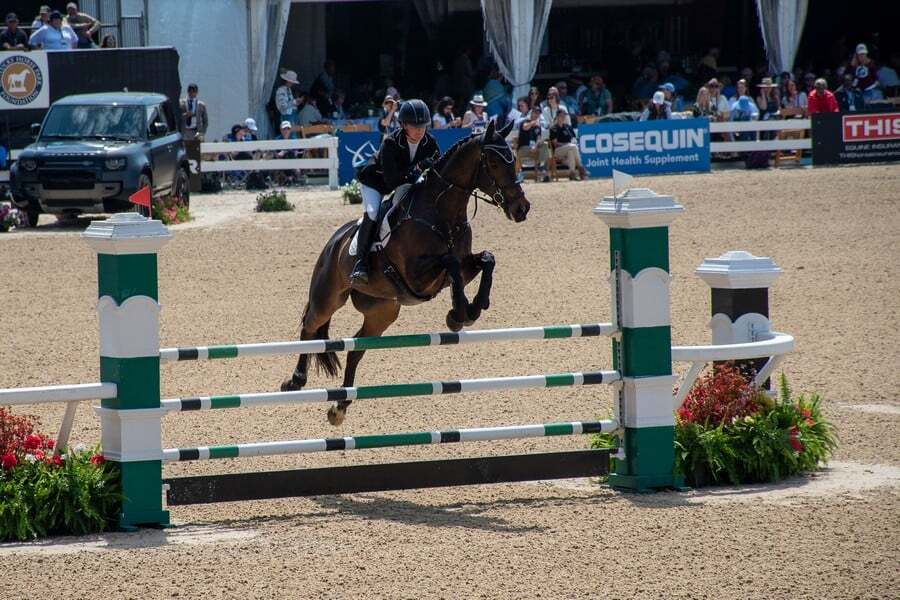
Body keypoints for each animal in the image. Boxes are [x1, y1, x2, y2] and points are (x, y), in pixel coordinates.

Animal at [281, 119, 530, 425]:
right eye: (494, 164)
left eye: (514, 160)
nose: (522, 209)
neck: (442, 211)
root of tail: (334, 241)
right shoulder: (417, 275)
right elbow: (450, 264)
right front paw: (458, 314)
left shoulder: (461, 266)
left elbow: (486, 260)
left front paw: (470, 310)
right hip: (328, 297)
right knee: (310, 326)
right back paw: (295, 380)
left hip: (383, 312)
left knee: (356, 350)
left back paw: (340, 407)